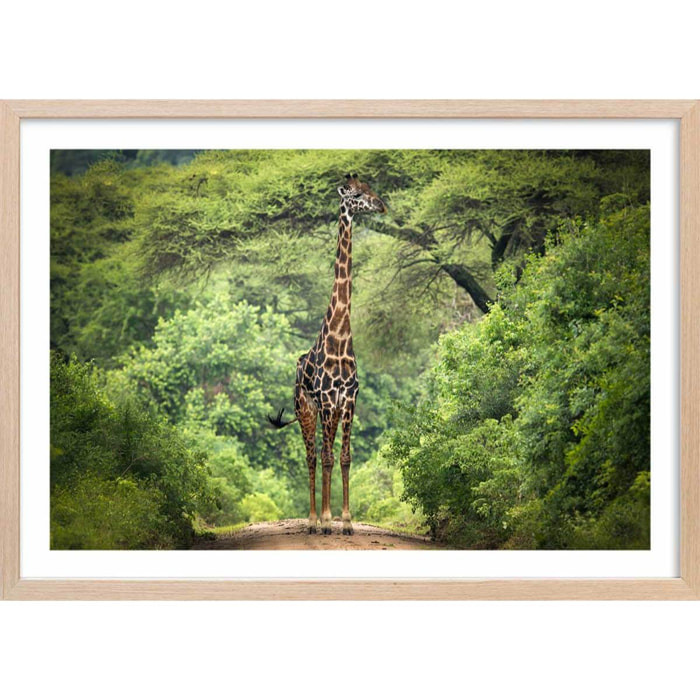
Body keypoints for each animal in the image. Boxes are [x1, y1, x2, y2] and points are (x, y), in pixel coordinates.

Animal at [268, 174, 387, 535]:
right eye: (357, 194)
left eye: (371, 188)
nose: (382, 205)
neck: (340, 336)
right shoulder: (323, 400)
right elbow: (325, 457)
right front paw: (325, 520)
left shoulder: (348, 399)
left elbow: (344, 457)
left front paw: (345, 521)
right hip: (306, 410)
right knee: (312, 456)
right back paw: (312, 521)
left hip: (329, 412)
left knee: (326, 454)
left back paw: (325, 518)